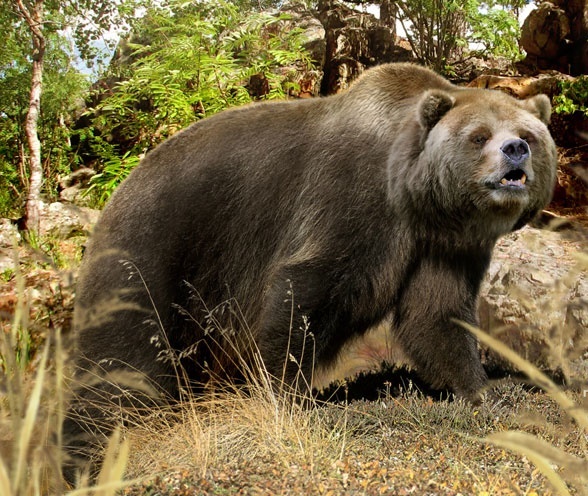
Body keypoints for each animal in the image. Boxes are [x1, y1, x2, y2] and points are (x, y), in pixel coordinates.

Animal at [63, 63, 556, 480]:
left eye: (528, 134)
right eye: (479, 136)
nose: (515, 151)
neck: (415, 201)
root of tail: (115, 195)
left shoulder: (443, 247)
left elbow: (438, 316)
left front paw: (482, 390)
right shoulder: (348, 200)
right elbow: (306, 292)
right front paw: (286, 397)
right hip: (154, 253)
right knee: (122, 364)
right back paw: (91, 449)